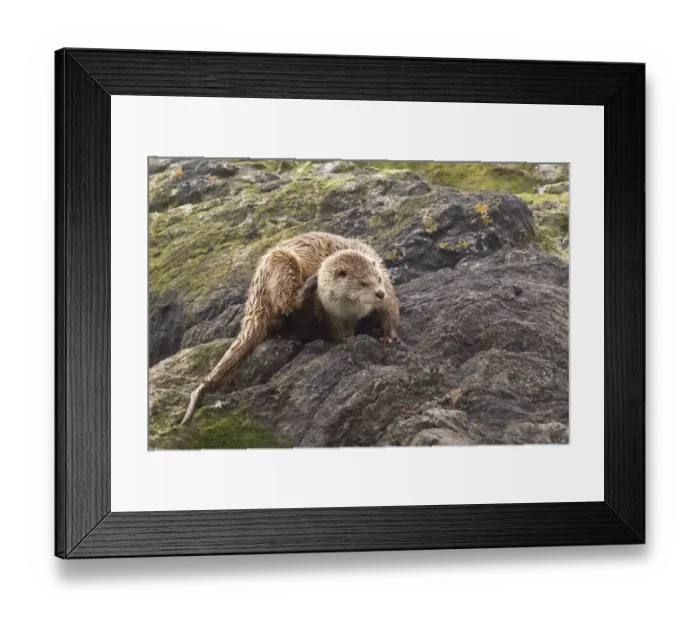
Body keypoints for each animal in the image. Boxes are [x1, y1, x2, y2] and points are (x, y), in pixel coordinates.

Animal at [180, 232, 400, 425]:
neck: (353, 311)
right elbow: (338, 329)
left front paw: (389, 337)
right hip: (281, 264)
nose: (378, 293)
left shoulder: (385, 285)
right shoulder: (329, 309)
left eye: (377, 279)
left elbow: (390, 310)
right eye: (362, 283)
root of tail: (255, 296)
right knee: (286, 301)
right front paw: (347, 339)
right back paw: (307, 289)